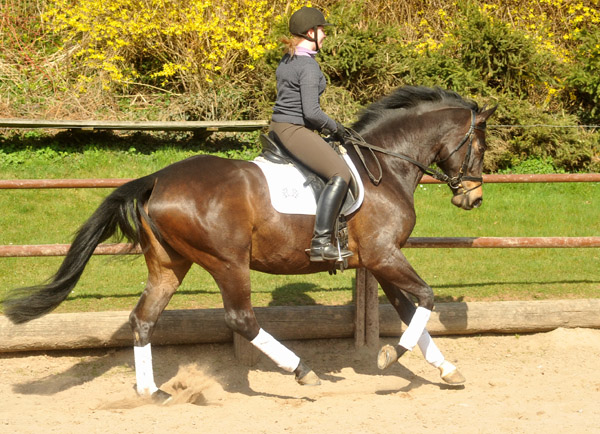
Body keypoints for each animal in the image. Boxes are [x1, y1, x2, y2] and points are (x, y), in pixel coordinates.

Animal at [2, 85, 494, 404]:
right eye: (481, 146)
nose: (473, 196)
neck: (386, 166)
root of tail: (157, 179)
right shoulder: (383, 254)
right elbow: (425, 299)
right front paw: (391, 356)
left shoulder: (379, 260)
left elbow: (414, 312)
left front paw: (446, 369)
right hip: (227, 262)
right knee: (241, 319)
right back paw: (303, 373)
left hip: (169, 264)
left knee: (143, 319)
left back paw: (151, 392)